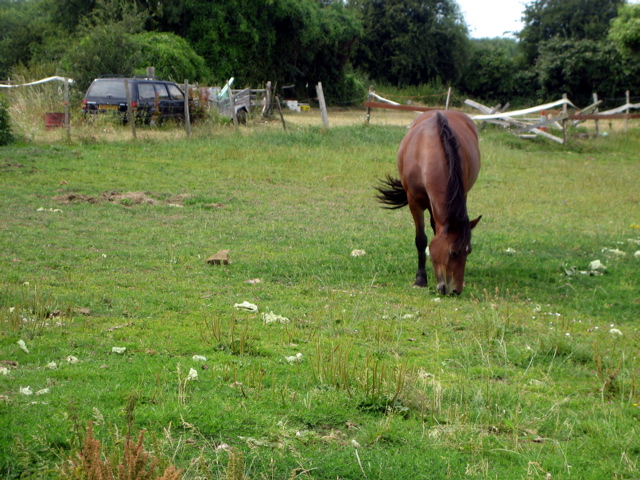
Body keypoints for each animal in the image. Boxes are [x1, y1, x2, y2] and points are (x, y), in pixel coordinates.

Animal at [375, 110, 481, 295]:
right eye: (453, 252)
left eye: (469, 252)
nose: (456, 290)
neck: (427, 150)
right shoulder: (414, 202)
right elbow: (421, 239)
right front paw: (420, 279)